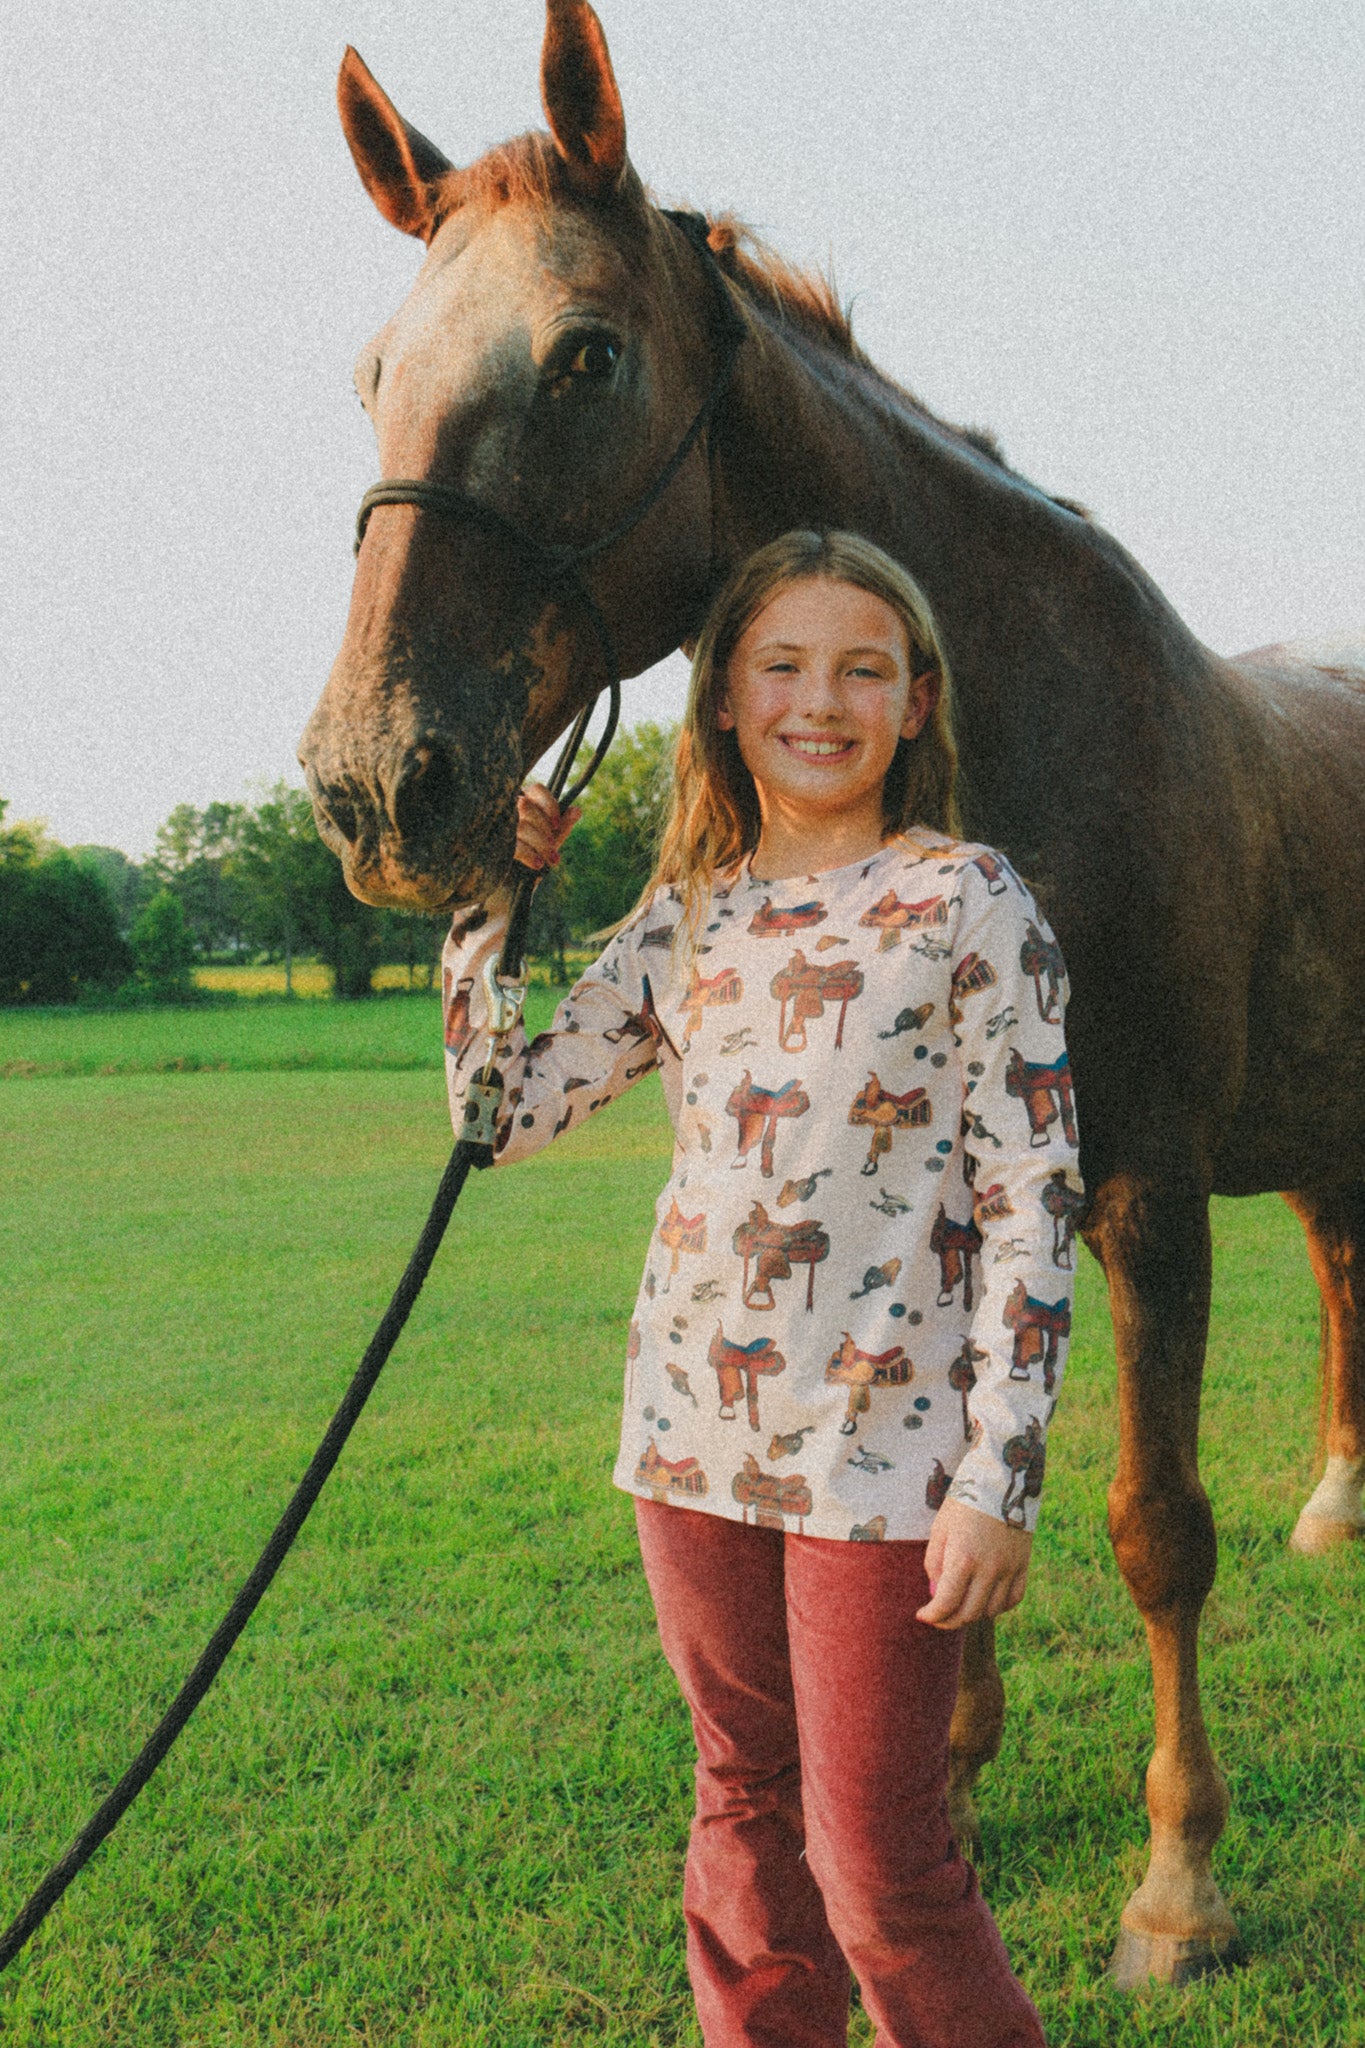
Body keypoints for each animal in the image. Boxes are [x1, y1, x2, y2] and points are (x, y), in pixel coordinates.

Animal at [304, 0, 1365, 1982]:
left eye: (584, 356)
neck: (1027, 722)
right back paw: (1339, 1500)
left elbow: (1151, 1526)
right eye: (374, 373)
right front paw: (944, 1769)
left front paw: (1176, 1881)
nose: (375, 787)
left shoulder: (1140, 1186)